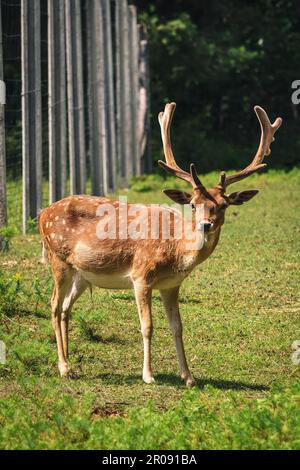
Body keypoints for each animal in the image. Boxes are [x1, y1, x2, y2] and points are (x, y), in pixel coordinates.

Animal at [39, 102, 282, 386]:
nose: (205, 225)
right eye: (193, 205)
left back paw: (70, 363)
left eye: (223, 205)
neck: (175, 251)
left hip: (82, 274)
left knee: (66, 308)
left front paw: (188, 377)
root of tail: (42, 214)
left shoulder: (171, 284)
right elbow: (148, 326)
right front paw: (148, 375)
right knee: (54, 305)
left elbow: (178, 327)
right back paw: (64, 367)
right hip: (57, 258)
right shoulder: (141, 276)